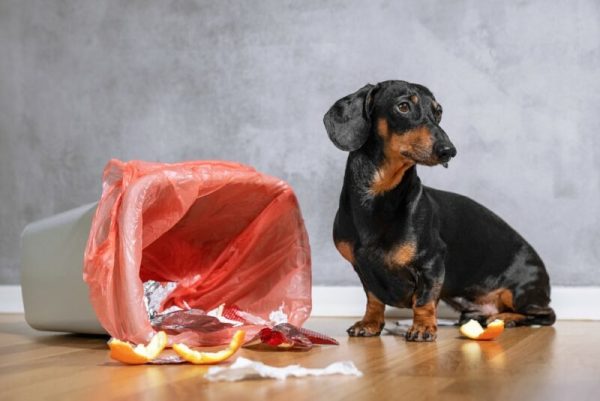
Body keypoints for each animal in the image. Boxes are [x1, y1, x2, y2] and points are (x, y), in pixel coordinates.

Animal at [326, 80, 556, 340]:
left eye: (438, 112)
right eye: (403, 106)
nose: (449, 150)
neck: (378, 197)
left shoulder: (431, 262)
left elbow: (424, 301)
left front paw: (423, 327)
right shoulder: (364, 270)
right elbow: (373, 299)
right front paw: (370, 324)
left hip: (519, 293)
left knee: (546, 315)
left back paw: (506, 318)